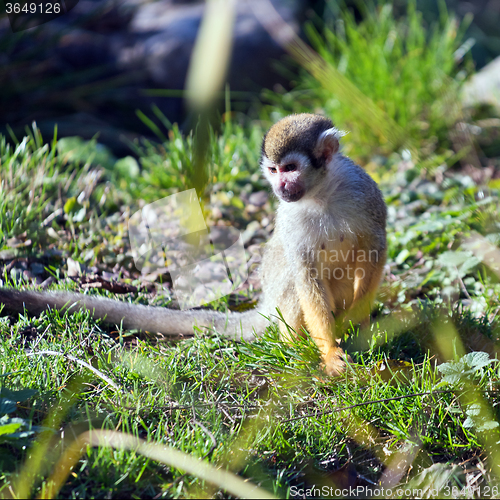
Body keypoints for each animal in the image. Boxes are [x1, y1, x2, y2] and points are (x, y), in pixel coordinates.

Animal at [0, 114, 386, 376]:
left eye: (290, 168)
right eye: (274, 170)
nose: (281, 187)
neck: (321, 193)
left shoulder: (363, 190)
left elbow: (374, 249)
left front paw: (357, 319)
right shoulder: (292, 217)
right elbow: (305, 274)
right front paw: (329, 351)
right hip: (278, 299)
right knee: (291, 277)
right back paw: (295, 344)